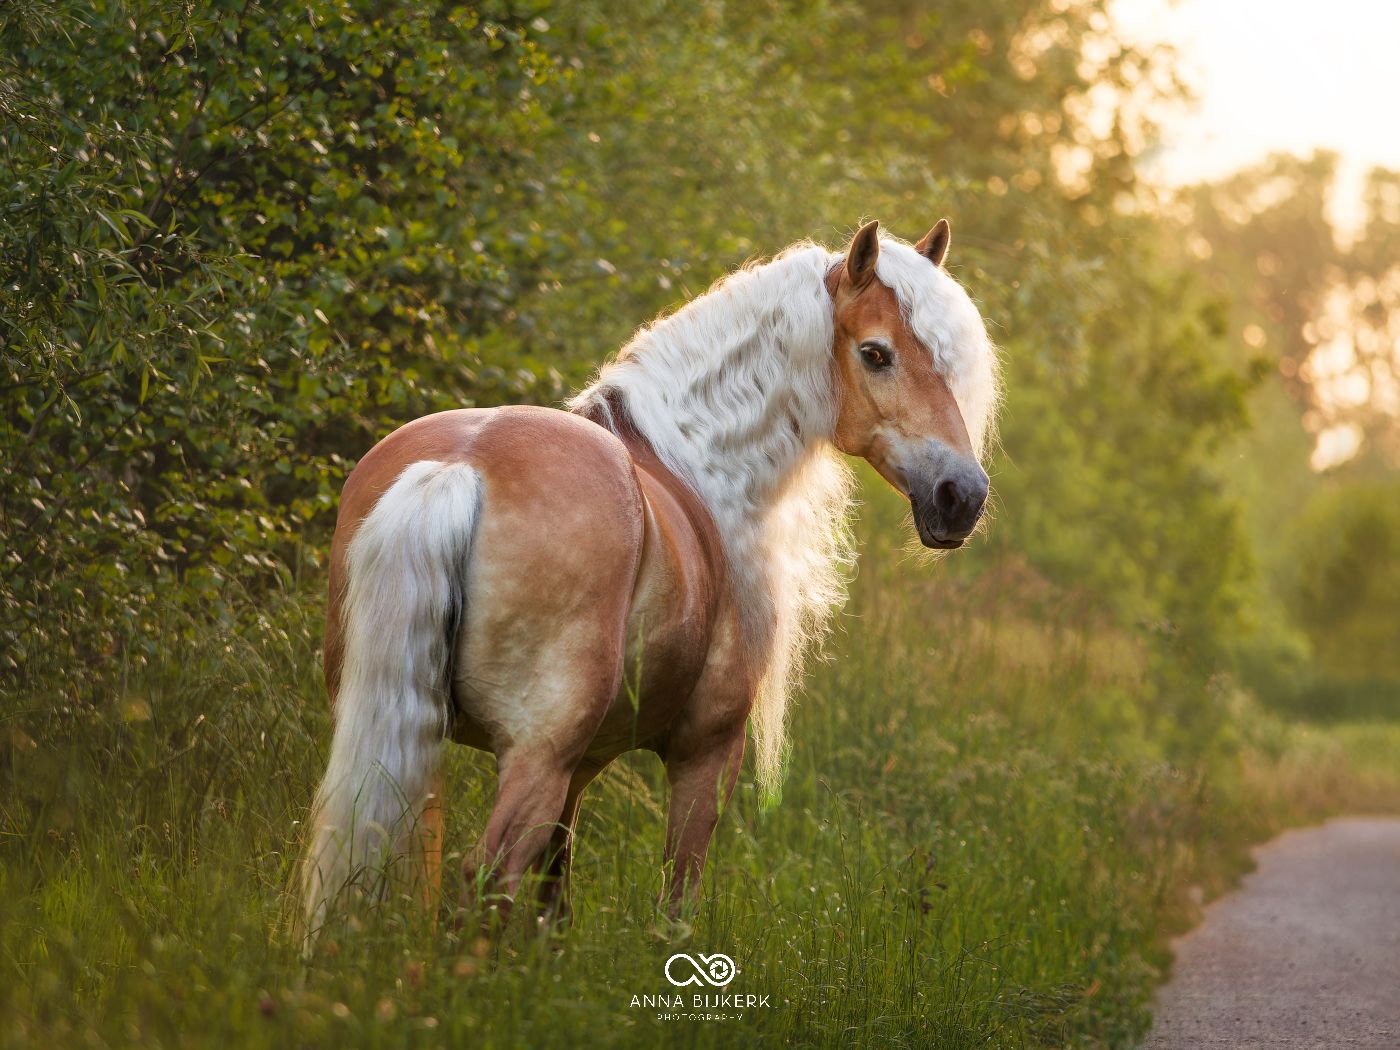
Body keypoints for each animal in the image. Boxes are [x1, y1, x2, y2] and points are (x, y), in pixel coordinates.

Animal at [300, 218, 1000, 942]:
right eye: (876, 353)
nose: (962, 496)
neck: (699, 466)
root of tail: (457, 468)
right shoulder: (705, 752)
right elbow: (675, 901)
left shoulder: (578, 768)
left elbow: (555, 894)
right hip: (533, 757)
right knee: (485, 877)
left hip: (415, 744)